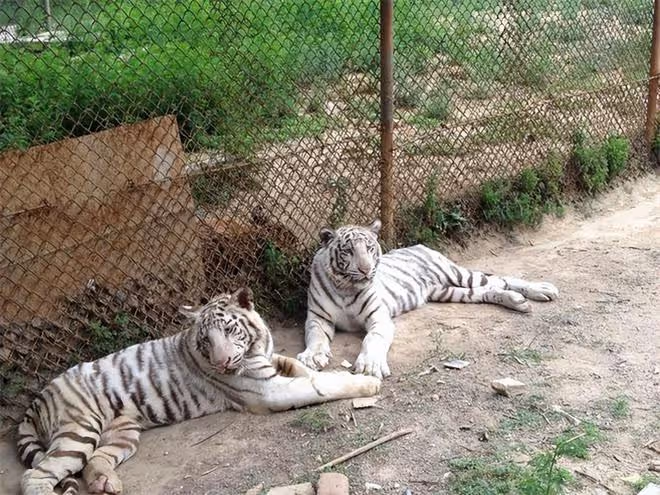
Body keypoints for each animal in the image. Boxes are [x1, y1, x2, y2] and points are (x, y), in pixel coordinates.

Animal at [17, 287, 380, 495]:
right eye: (206, 340)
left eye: (230, 330)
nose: (221, 364)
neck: (256, 347)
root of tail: (37, 398)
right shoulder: (267, 390)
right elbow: (318, 384)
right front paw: (367, 383)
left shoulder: (270, 360)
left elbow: (299, 367)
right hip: (79, 430)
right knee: (35, 476)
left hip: (122, 433)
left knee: (96, 460)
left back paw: (105, 484)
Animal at [297, 219, 559, 379]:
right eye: (348, 251)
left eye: (370, 248)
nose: (366, 270)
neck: (346, 288)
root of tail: (421, 245)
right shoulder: (317, 318)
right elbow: (316, 337)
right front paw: (312, 357)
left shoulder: (379, 318)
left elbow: (373, 339)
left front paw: (371, 365)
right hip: (448, 291)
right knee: (489, 290)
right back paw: (517, 301)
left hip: (457, 275)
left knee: (500, 279)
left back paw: (542, 290)